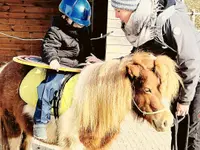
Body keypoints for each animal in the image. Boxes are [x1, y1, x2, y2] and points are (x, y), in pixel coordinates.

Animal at [0, 51, 181, 149]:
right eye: (147, 89)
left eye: (161, 88)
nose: (167, 121)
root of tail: (5, 68)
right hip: (12, 126)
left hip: (26, 130)